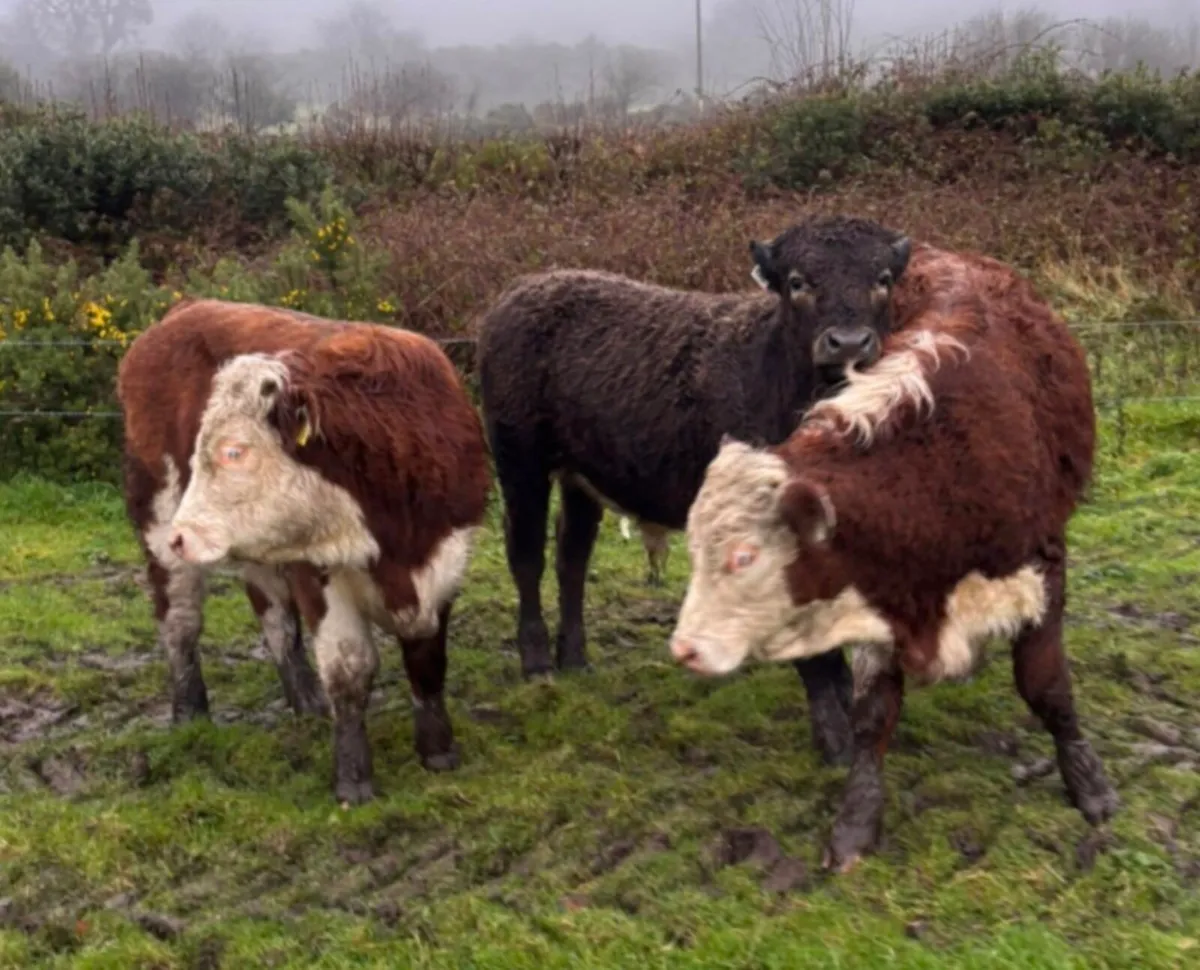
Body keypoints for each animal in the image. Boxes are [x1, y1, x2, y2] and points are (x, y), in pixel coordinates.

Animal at [117, 299, 491, 805]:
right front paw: (353, 777)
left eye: (235, 451)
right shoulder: (320, 571)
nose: (183, 534)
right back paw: (189, 712)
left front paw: (437, 751)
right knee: (179, 620)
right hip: (157, 516)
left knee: (274, 616)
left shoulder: (445, 563)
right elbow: (350, 668)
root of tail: (186, 309)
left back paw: (306, 701)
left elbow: (427, 659)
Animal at [477, 215, 914, 767]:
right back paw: (537, 663)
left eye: (883, 278)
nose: (850, 343)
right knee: (528, 554)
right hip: (520, 463)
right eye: (798, 282)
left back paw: (575, 659)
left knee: (572, 557)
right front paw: (833, 737)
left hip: (582, 478)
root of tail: (519, 292)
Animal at [668, 242, 1120, 871]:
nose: (684, 648)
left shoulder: (1044, 568)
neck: (941, 462)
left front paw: (1087, 781)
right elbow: (873, 714)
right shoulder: (879, 587)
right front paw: (857, 821)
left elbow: (1047, 686)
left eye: (744, 557)